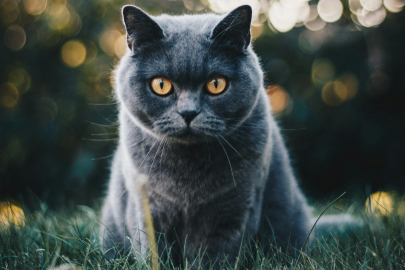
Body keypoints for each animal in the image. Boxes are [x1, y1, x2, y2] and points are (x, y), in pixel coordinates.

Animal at [101, 4, 318, 268]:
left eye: (216, 84)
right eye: (161, 85)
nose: (188, 113)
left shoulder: (235, 211)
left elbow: (215, 256)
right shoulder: (147, 207)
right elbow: (155, 253)